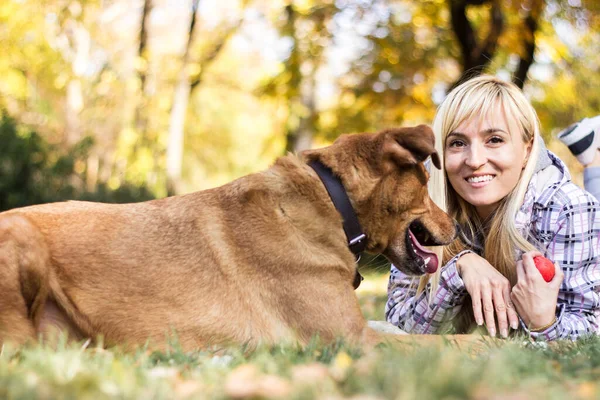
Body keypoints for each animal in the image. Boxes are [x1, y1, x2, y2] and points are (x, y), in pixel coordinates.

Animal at [0, 125, 458, 350]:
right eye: (426, 184)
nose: (456, 225)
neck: (332, 201)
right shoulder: (351, 341)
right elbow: (450, 344)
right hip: (23, 238)